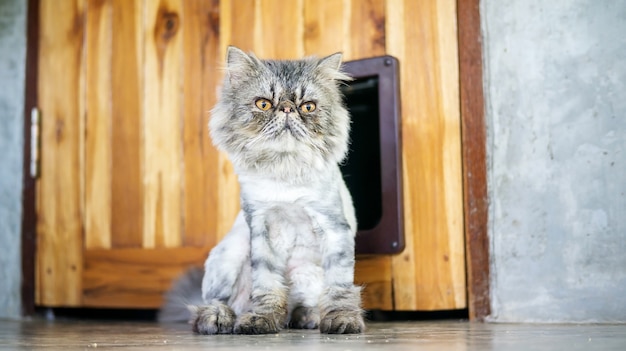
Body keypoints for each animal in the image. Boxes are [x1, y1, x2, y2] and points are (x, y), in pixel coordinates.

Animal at [158, 46, 364, 336]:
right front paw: (260, 320)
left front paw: (342, 320)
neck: (283, 172)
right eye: (264, 104)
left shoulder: (333, 225)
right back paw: (219, 319)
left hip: (307, 274)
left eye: (308, 107)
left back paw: (306, 318)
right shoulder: (261, 226)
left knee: (299, 307)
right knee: (209, 307)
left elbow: (340, 287)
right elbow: (267, 286)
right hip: (230, 255)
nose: (287, 108)